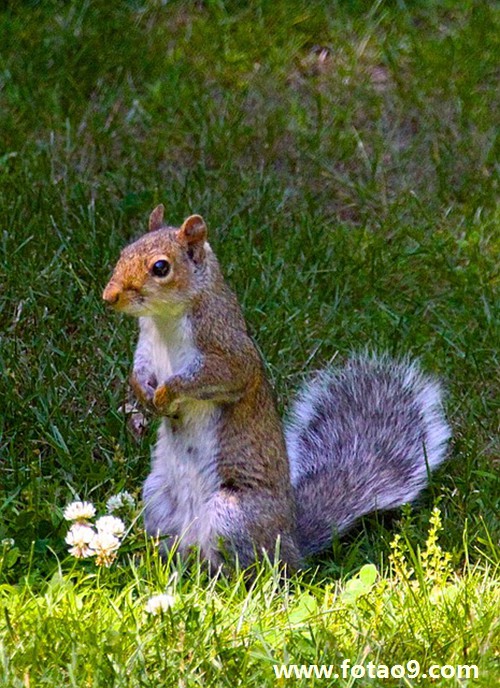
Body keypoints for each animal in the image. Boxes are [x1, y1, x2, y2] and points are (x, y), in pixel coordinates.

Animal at [103, 207, 452, 572]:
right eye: (124, 251)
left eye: (161, 268)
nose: (109, 296)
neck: (163, 320)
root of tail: (291, 543)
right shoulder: (146, 346)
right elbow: (139, 371)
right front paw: (144, 394)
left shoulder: (227, 349)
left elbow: (216, 377)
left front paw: (167, 393)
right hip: (158, 497)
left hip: (232, 515)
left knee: (250, 568)